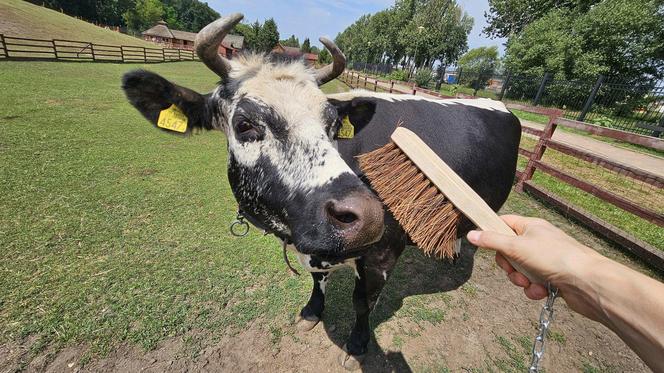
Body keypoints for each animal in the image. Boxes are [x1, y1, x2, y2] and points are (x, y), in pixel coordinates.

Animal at [122, 13, 520, 368]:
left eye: (331, 124)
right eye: (244, 124)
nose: (367, 216)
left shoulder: (383, 253)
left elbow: (363, 302)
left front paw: (357, 344)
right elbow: (317, 281)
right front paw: (312, 311)